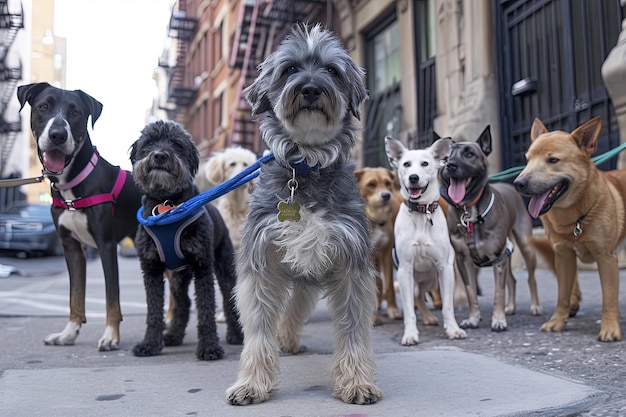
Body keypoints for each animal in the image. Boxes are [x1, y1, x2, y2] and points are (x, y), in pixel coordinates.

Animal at [17, 80, 141, 348]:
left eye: (75, 112)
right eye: (43, 106)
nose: (57, 135)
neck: (72, 185)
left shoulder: (106, 245)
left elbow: (112, 296)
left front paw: (111, 336)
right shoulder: (72, 248)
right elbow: (75, 295)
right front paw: (68, 333)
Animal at [129, 118, 241, 360]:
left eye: (176, 143)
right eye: (149, 142)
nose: (160, 155)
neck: (166, 203)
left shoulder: (202, 266)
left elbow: (207, 308)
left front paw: (209, 347)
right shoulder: (151, 268)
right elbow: (153, 311)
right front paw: (149, 344)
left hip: (223, 265)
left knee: (228, 298)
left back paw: (236, 334)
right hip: (179, 277)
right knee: (184, 301)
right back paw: (173, 336)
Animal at [382, 136, 466, 344]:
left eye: (425, 163)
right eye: (406, 164)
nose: (413, 177)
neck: (421, 213)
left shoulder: (445, 269)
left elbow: (448, 307)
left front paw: (453, 330)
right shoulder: (405, 270)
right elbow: (409, 311)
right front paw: (410, 334)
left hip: (430, 280)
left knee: (420, 297)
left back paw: (428, 317)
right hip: (411, 281)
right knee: (416, 298)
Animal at [512, 117, 624, 342]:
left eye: (553, 160)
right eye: (527, 160)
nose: (518, 183)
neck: (574, 218)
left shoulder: (606, 258)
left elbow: (609, 297)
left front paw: (610, 328)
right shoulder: (563, 255)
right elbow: (562, 295)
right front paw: (557, 321)